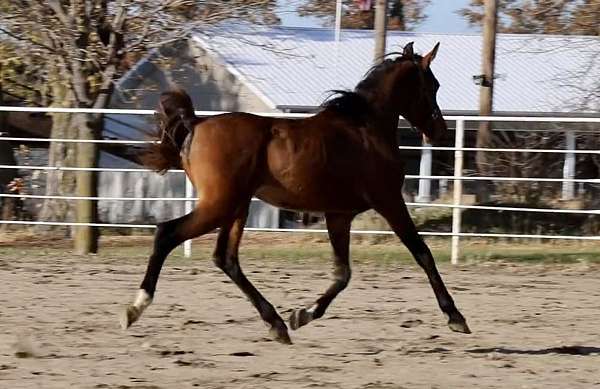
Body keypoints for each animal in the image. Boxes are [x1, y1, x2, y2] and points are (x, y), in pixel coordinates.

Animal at [120, 42, 468, 344]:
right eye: (432, 86)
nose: (440, 133)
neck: (364, 129)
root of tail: (194, 125)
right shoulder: (389, 202)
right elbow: (422, 253)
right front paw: (455, 317)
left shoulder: (339, 215)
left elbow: (343, 273)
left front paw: (302, 314)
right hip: (219, 205)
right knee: (167, 234)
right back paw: (134, 308)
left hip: (236, 207)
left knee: (226, 258)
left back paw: (276, 324)